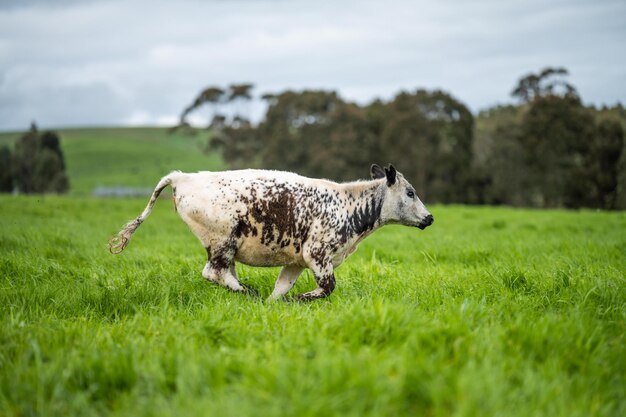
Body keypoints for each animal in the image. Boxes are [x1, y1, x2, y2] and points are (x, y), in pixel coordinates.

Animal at [108, 162, 428, 300]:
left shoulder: (297, 261)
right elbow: (327, 287)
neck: (349, 205)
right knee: (213, 272)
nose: (430, 217)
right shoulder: (318, 254)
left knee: (221, 273)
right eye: (410, 192)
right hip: (222, 241)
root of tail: (182, 177)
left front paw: (278, 303)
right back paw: (246, 291)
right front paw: (301, 298)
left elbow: (281, 288)